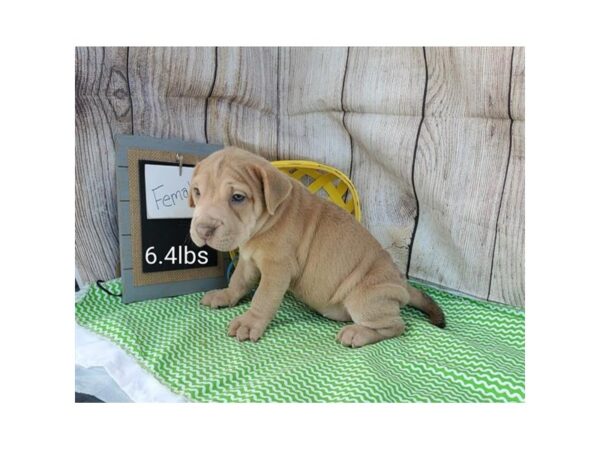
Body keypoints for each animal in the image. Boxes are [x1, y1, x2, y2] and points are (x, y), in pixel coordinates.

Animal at [189, 146, 446, 346]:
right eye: (197, 192)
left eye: (238, 197)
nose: (203, 230)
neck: (265, 223)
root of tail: (402, 285)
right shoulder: (248, 260)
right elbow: (238, 282)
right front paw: (225, 295)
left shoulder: (277, 270)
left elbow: (262, 298)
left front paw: (250, 322)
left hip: (365, 299)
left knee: (397, 325)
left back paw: (358, 333)